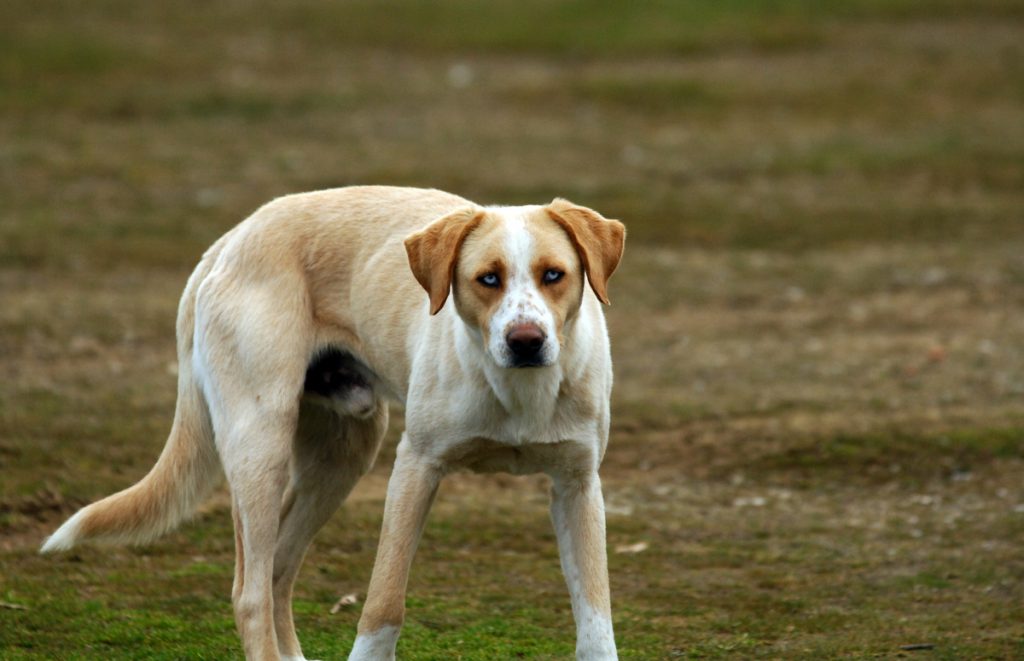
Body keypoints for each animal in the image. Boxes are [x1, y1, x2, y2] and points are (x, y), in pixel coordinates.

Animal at [41, 186, 622, 661]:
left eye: (554, 275)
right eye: (488, 279)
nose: (526, 342)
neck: (519, 392)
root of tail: (232, 238)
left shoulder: (577, 485)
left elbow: (596, 618)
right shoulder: (415, 469)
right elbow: (383, 605)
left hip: (342, 457)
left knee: (277, 569)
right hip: (261, 446)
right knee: (249, 592)